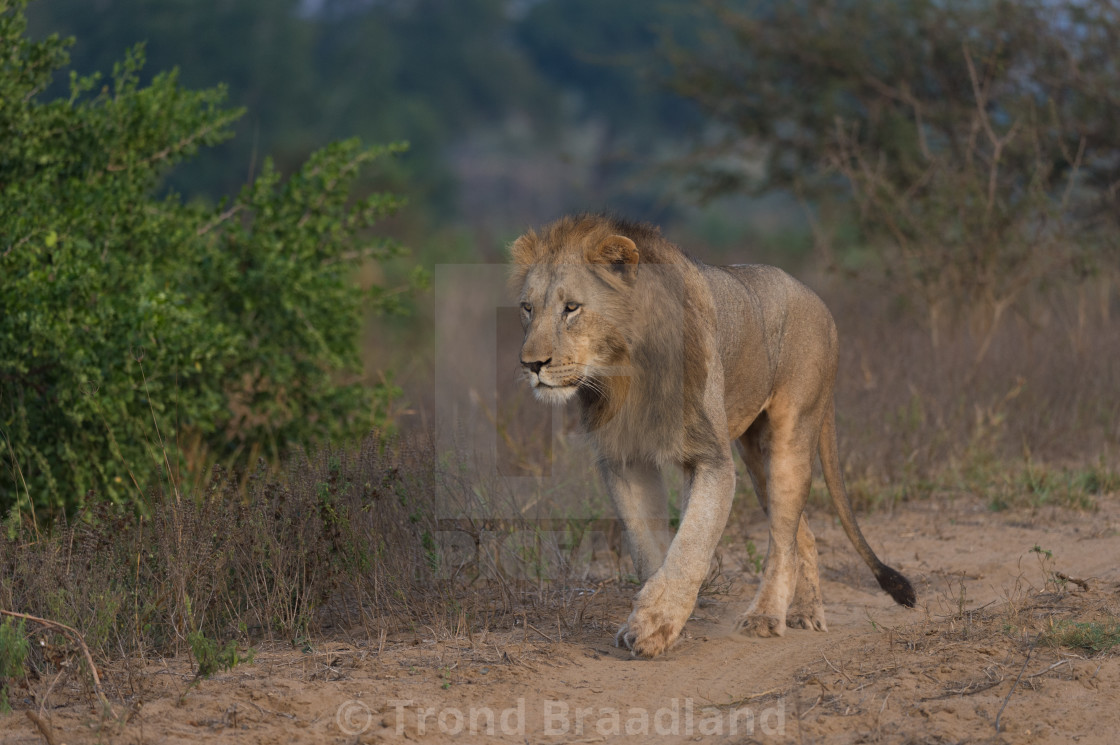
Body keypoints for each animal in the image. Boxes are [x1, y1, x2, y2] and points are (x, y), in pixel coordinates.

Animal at [512, 213, 913, 658]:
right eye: (527, 308)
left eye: (572, 308)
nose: (531, 364)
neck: (626, 372)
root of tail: (818, 301)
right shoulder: (624, 460)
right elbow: (648, 547)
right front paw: (654, 620)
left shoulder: (710, 457)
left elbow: (691, 543)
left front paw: (653, 625)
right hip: (755, 453)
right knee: (800, 535)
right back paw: (805, 611)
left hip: (790, 435)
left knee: (782, 539)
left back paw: (764, 617)